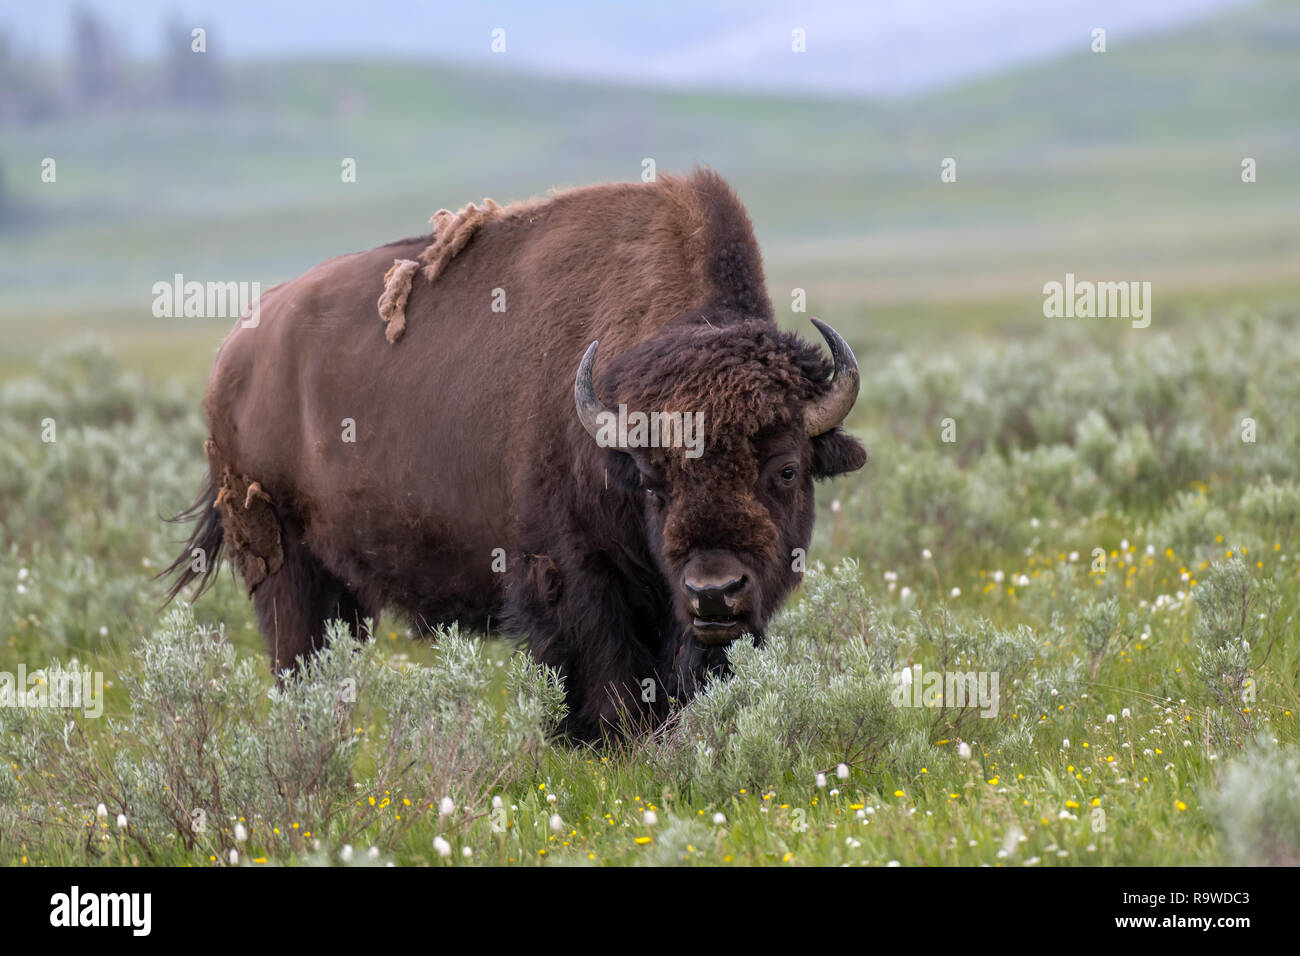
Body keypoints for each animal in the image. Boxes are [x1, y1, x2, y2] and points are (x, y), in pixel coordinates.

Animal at [167, 170, 868, 738]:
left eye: (787, 469)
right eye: (651, 481)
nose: (714, 590)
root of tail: (232, 357)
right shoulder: (574, 578)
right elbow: (609, 682)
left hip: (342, 587)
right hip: (283, 563)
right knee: (296, 661)